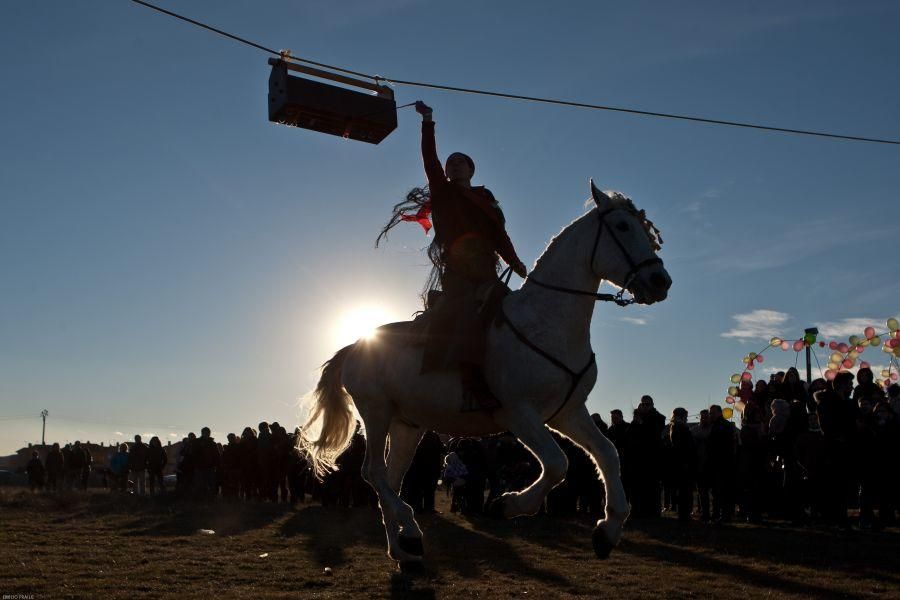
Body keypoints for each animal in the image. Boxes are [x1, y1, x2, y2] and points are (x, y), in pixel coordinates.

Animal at [300, 180, 668, 564]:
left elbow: (607, 454)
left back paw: (404, 547)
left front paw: (608, 530)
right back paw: (408, 524)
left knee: (391, 477)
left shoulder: (568, 412)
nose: (660, 281)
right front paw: (507, 505)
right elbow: (557, 463)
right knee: (373, 473)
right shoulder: (519, 414)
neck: (546, 323)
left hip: (406, 425)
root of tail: (356, 345)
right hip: (376, 412)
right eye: (623, 227)